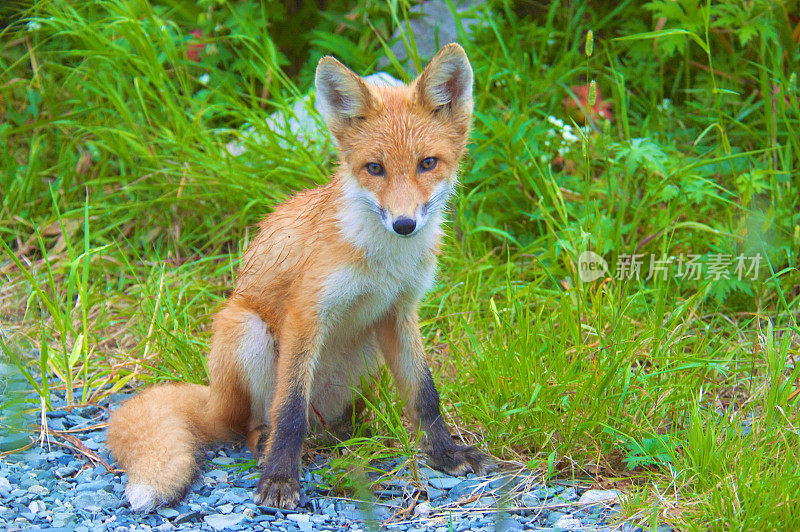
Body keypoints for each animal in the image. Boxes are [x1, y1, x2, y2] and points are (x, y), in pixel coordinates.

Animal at [106, 44, 494, 512]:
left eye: (428, 164)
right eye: (375, 168)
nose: (404, 224)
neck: (382, 262)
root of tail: (214, 398)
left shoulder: (399, 312)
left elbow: (425, 395)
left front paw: (446, 454)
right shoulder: (307, 313)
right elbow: (289, 408)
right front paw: (279, 478)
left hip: (366, 351)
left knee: (328, 420)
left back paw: (348, 435)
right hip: (247, 329)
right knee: (262, 421)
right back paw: (268, 447)